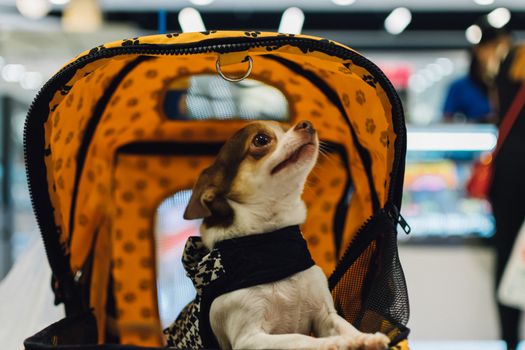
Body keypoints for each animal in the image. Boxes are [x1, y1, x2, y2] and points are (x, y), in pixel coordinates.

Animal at [165, 121, 388, 350]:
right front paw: (336, 343)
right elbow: (302, 339)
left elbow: (346, 327)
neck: (273, 247)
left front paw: (363, 338)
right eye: (261, 140)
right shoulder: (250, 338)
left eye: (286, 128)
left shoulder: (325, 317)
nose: (306, 124)